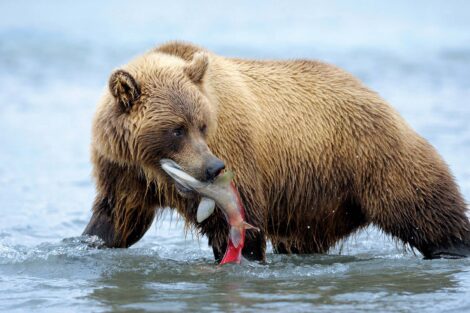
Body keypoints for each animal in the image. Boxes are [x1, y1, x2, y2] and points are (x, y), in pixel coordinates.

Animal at [82, 41, 470, 260]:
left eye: (202, 125)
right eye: (176, 129)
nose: (212, 168)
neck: (150, 165)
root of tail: (375, 95)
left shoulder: (235, 151)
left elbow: (240, 223)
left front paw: (243, 255)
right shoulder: (122, 172)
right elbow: (117, 220)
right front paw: (92, 241)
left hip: (373, 157)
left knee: (424, 206)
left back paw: (453, 246)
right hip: (320, 199)